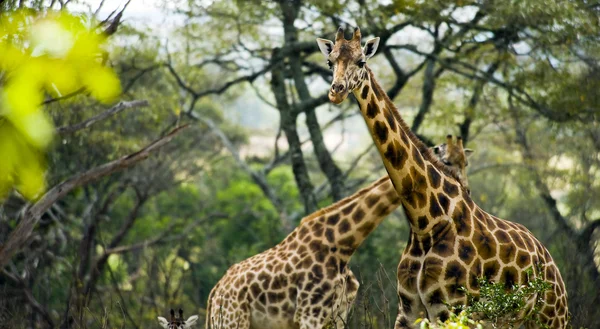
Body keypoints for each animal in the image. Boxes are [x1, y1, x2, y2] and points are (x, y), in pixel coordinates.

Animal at [204, 142, 472, 328]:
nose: (466, 190)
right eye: (450, 162)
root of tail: (214, 294)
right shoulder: (309, 313)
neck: (343, 245)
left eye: (465, 161)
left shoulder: (339, 314)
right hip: (233, 320)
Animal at [316, 26, 568, 328]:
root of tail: (550, 260)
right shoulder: (408, 308)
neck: (424, 224)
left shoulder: (451, 307)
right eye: (330, 61)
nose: (337, 91)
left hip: (551, 316)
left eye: (361, 62)